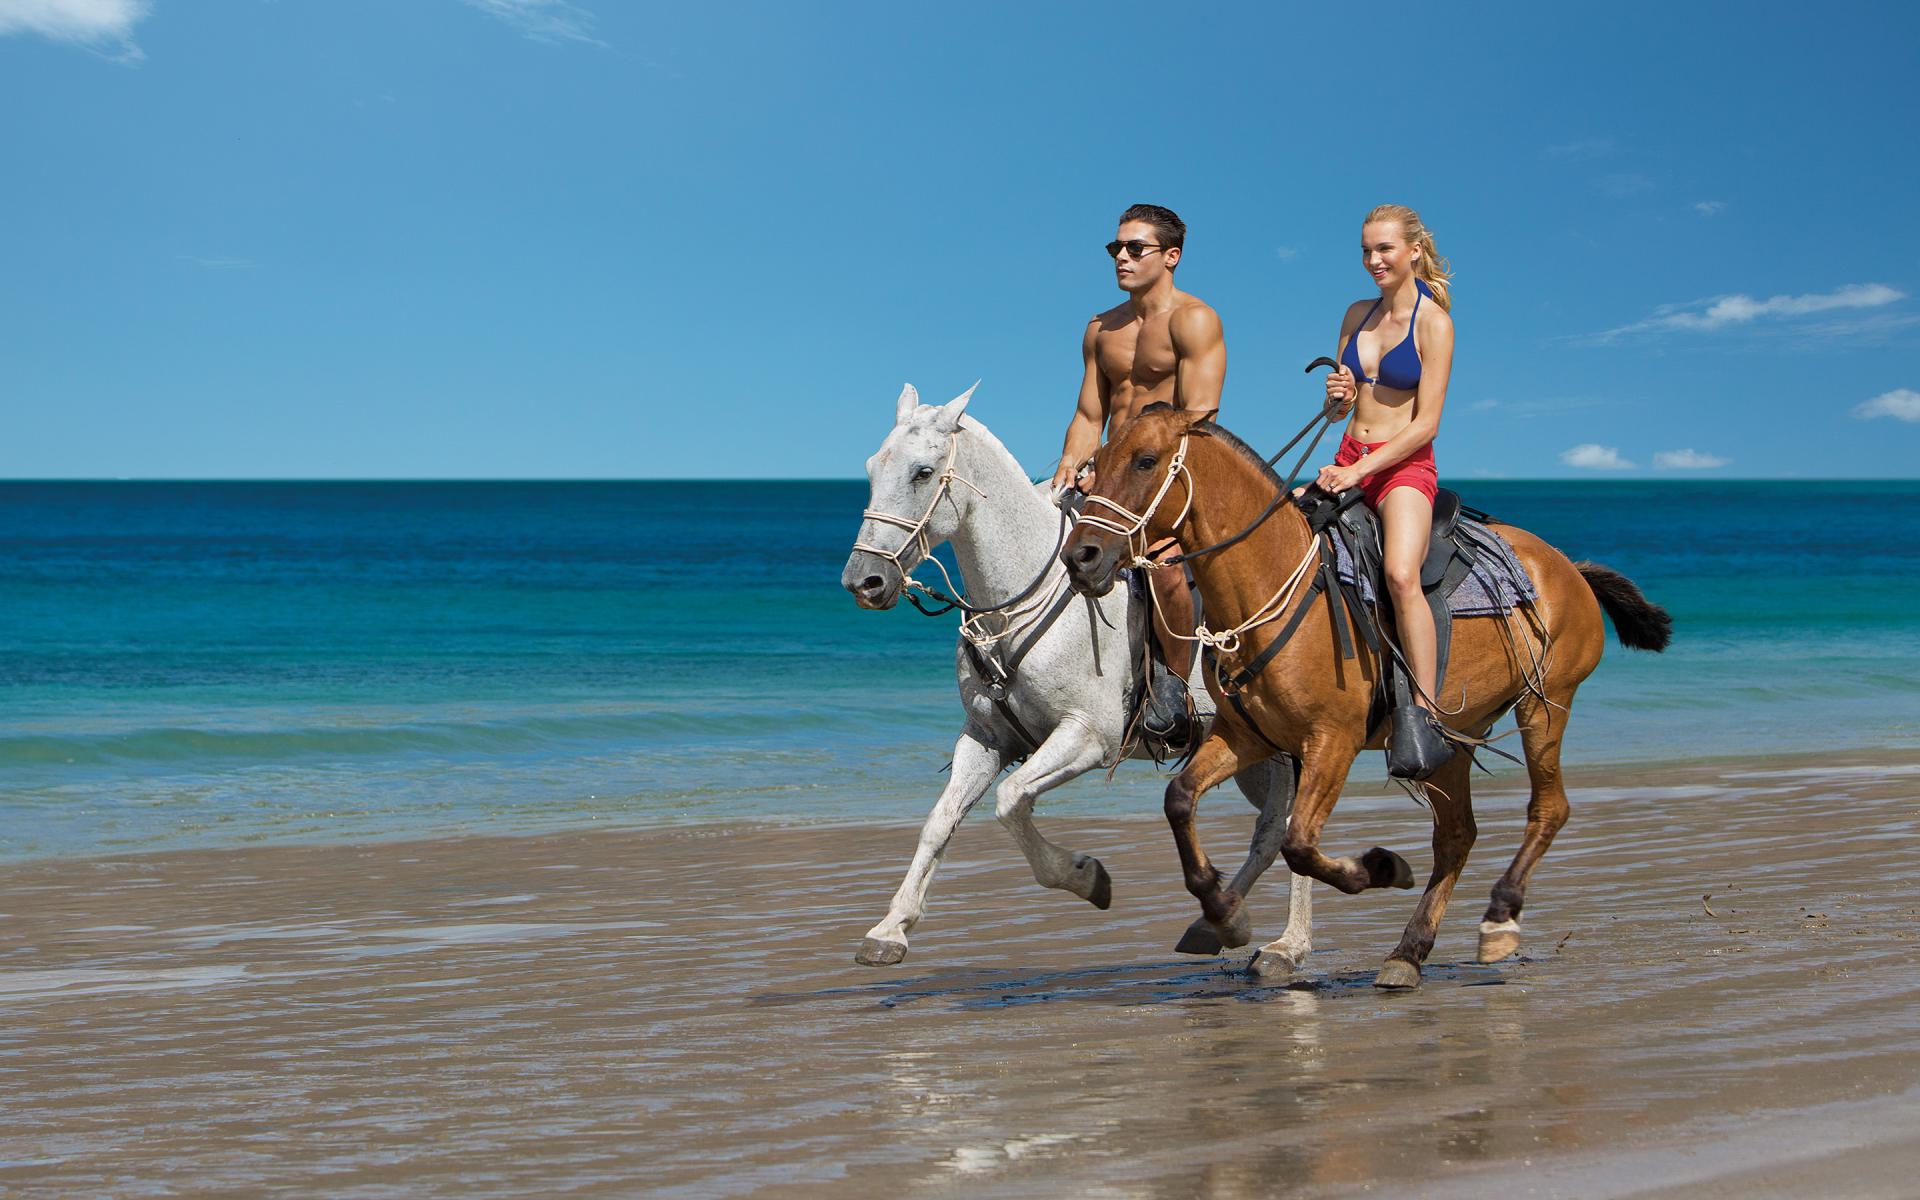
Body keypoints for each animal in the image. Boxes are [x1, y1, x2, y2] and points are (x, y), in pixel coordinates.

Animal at [840, 384, 1314, 971]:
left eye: (923, 473)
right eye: (872, 468)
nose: (863, 581)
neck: (1016, 604)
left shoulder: (1086, 737)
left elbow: (1011, 800)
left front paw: (1087, 877)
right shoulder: (985, 739)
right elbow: (939, 821)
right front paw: (890, 929)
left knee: (1288, 830)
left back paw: (1287, 945)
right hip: (1256, 757)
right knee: (1271, 833)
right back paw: (1219, 922)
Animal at [1059, 405, 1671, 989]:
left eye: (1145, 461)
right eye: (1095, 463)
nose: (1080, 557)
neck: (1273, 583)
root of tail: (1568, 566)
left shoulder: (1333, 741)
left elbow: (1299, 843)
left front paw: (1379, 868)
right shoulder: (1246, 736)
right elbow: (1181, 799)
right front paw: (1224, 914)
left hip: (1544, 706)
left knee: (1548, 809)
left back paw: (1499, 917)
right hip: (1449, 738)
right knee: (1456, 836)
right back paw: (1409, 953)